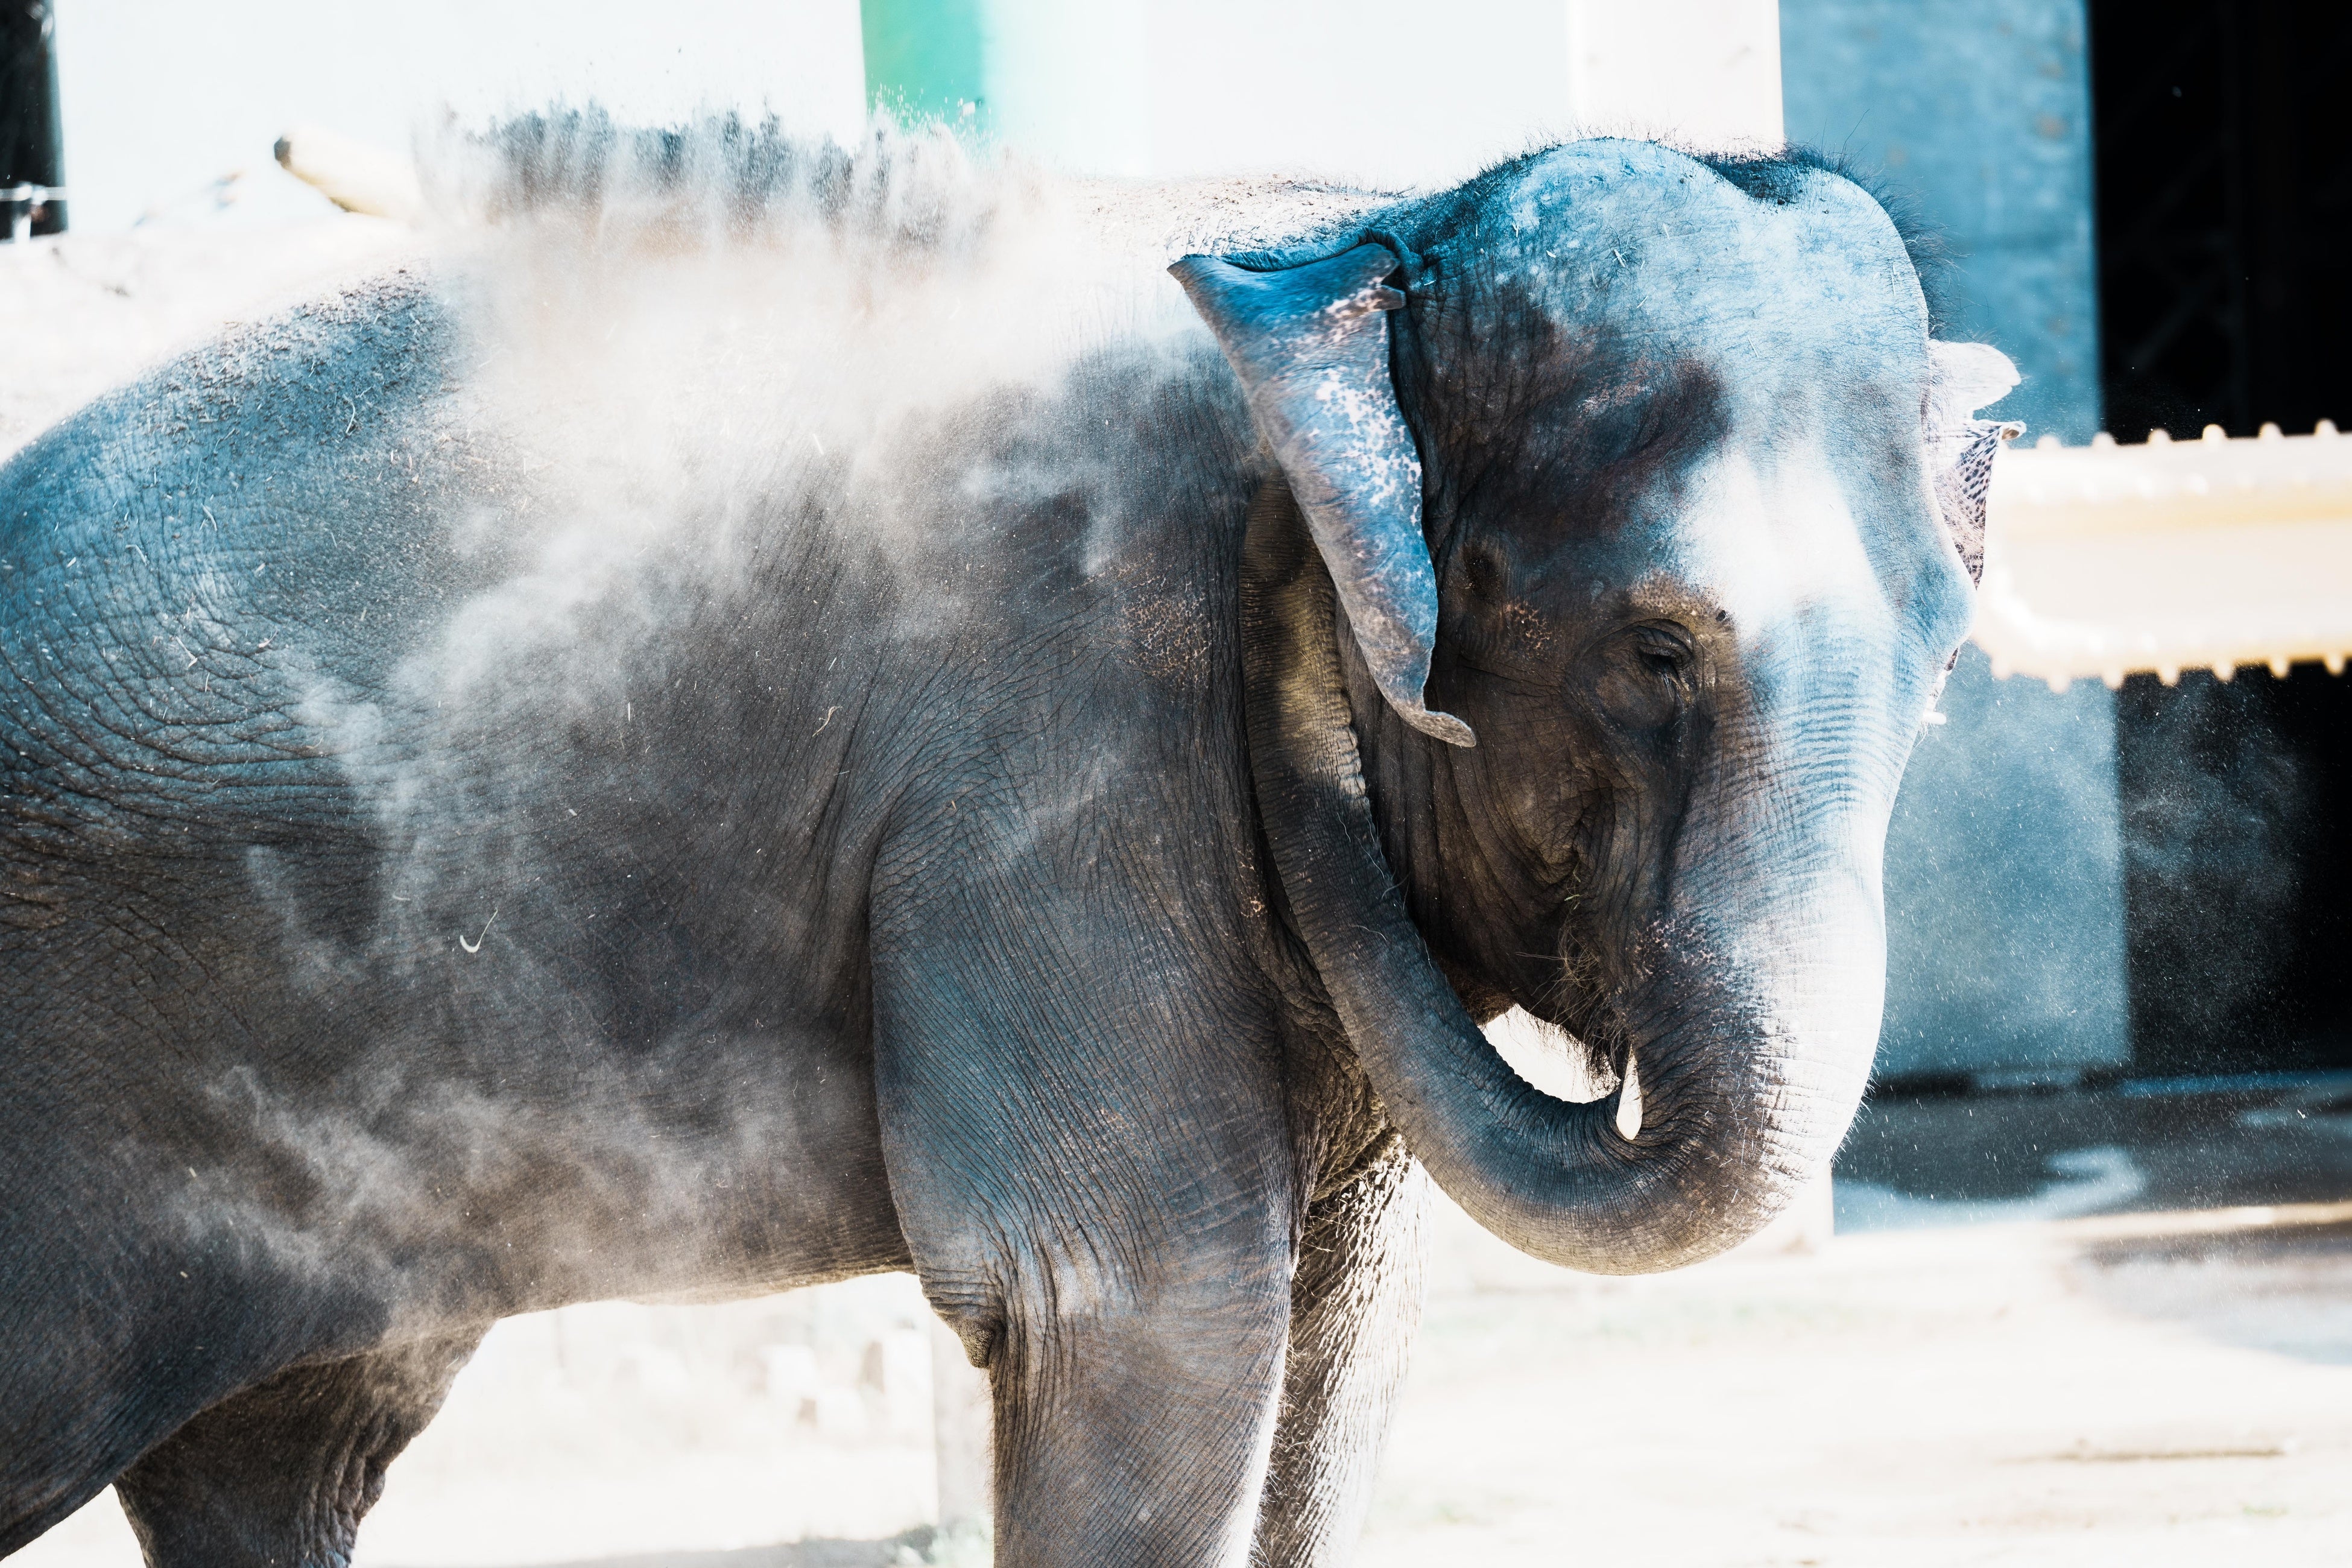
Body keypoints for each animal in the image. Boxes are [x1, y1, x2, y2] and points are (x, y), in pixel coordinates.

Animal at [0, 119, 2023, 1568]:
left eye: (1942, 665)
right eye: (1654, 650)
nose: (1304, 653)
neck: (1350, 221)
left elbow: (1339, 1336)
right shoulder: (1054, 765)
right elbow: (1142, 1311)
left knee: (280, 1452)